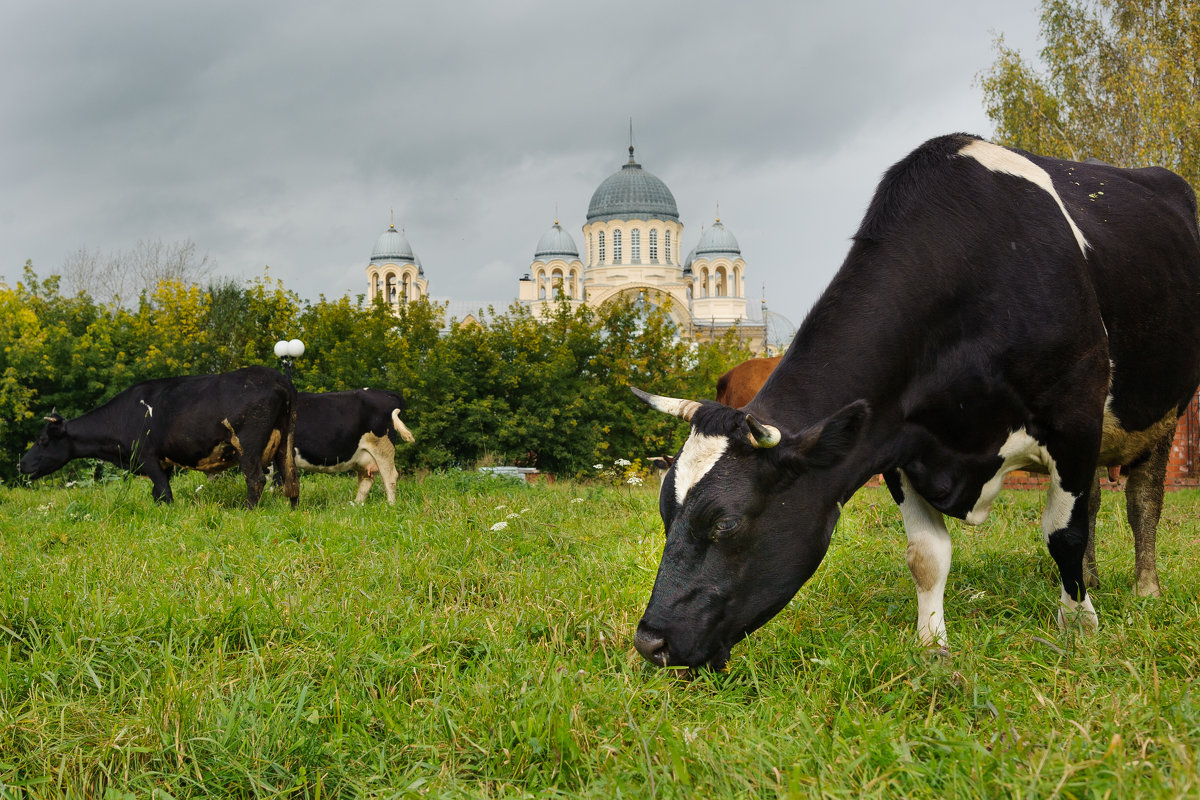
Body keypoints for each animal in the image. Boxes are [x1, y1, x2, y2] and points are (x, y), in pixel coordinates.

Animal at [19, 362, 300, 506]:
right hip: (285, 440)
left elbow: (164, 492)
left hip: (248, 444)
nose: (20, 464)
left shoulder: (147, 457)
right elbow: (158, 493)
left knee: (256, 479)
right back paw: (291, 508)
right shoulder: (164, 464)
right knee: (291, 477)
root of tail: (279, 379)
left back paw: (247, 510)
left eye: (42, 440)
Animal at [628, 133, 1200, 671]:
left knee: (1142, 502)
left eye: (725, 523)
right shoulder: (897, 442)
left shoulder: (1074, 421)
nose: (650, 642)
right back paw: (1095, 580)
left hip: (1160, 414)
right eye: (664, 512)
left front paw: (1078, 627)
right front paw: (932, 645)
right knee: (1099, 500)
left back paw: (1144, 589)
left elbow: (1064, 534)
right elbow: (926, 556)